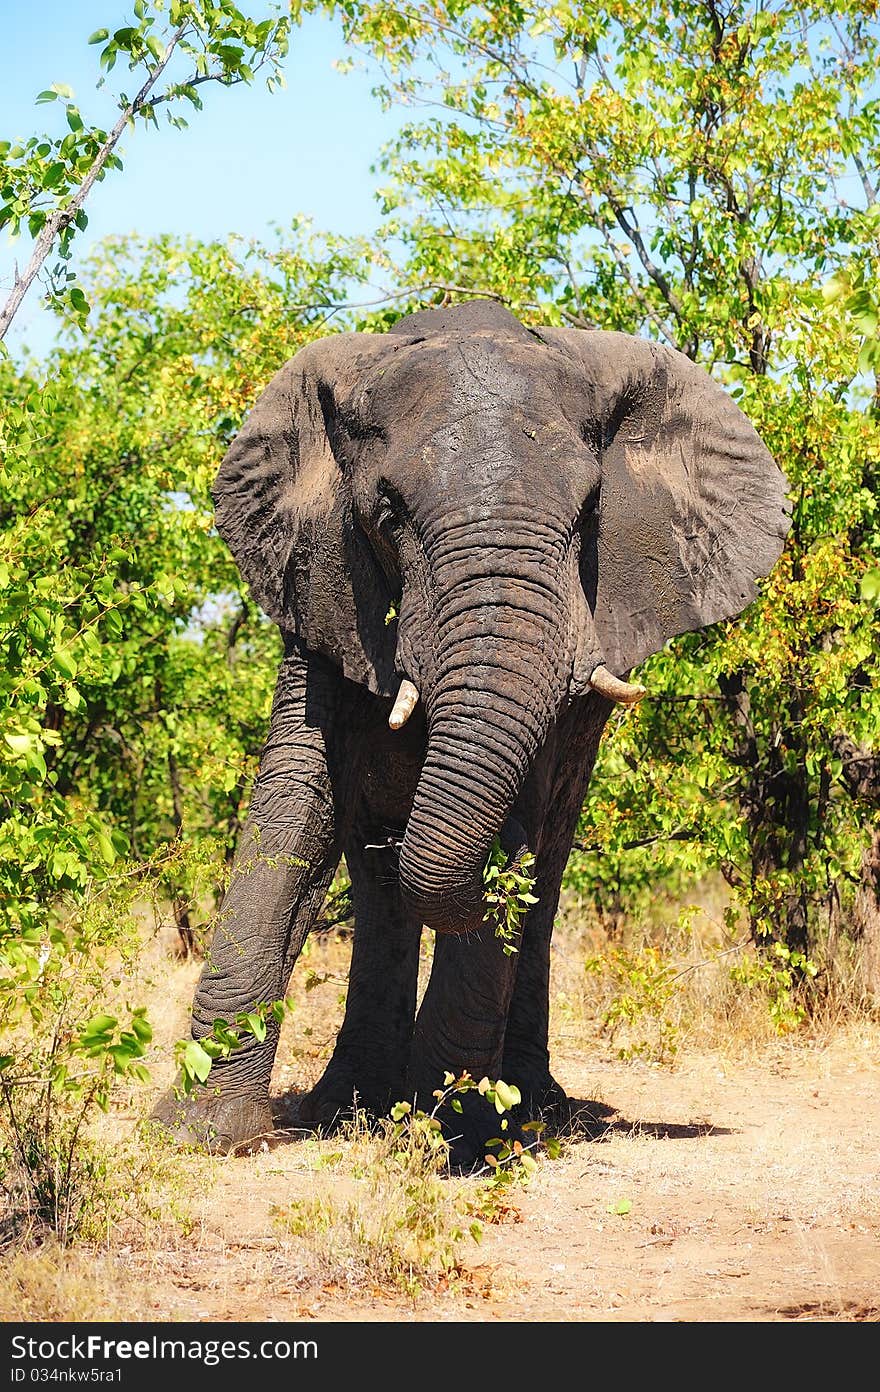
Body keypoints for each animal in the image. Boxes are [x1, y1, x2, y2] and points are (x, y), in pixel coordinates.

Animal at [151, 299, 790, 1169]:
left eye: (590, 515)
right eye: (388, 514)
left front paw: (442, 1138)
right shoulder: (320, 588)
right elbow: (293, 810)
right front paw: (195, 1134)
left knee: (543, 873)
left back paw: (527, 1110)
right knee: (381, 879)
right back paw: (348, 1105)